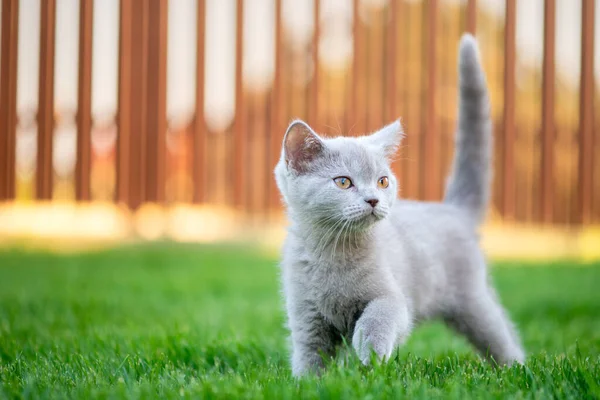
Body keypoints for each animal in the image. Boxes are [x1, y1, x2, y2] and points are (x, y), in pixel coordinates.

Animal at [274, 33, 524, 376]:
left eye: (382, 181)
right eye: (343, 182)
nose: (374, 199)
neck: (332, 251)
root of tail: (451, 209)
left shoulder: (393, 296)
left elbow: (379, 315)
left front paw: (370, 351)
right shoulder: (306, 317)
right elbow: (309, 356)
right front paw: (307, 382)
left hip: (474, 301)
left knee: (502, 336)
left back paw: (518, 369)